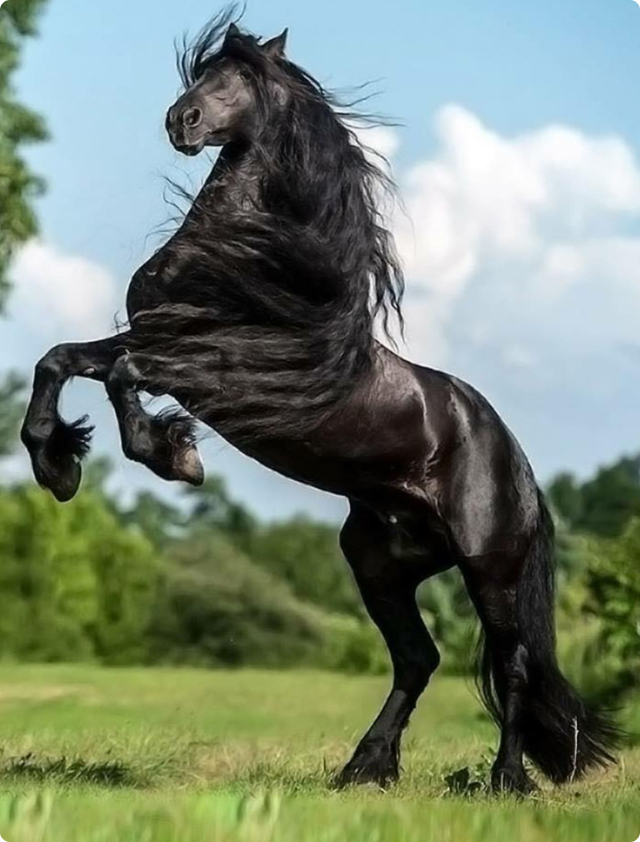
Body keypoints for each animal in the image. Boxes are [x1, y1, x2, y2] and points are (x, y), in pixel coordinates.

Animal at [21, 11, 620, 793]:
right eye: (205, 73)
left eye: (238, 78)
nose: (181, 121)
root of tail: (516, 462)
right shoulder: (158, 338)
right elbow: (61, 359)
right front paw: (57, 467)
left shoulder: (213, 369)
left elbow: (121, 375)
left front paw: (174, 457)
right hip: (379, 563)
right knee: (419, 660)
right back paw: (363, 769)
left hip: (490, 570)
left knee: (510, 665)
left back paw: (504, 782)